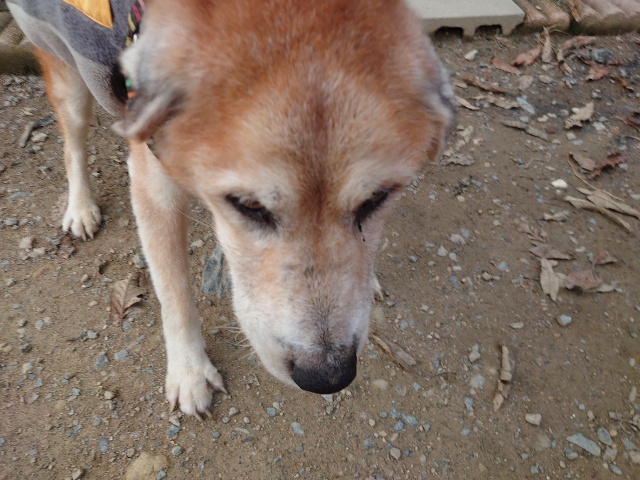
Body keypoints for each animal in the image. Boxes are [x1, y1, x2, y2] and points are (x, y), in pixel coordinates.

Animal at [8, 0, 455, 417]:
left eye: (378, 198)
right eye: (248, 206)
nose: (327, 376)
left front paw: (369, 278)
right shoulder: (154, 186)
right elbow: (173, 289)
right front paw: (189, 371)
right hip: (65, 73)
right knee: (73, 142)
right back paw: (80, 207)